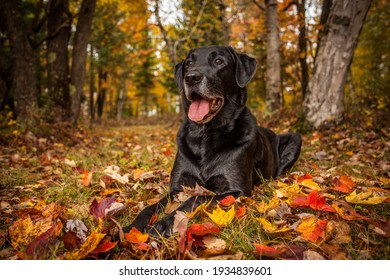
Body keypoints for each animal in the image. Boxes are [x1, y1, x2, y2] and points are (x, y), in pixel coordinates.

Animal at [123, 47, 300, 237]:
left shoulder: (238, 190)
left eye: (218, 62)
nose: (191, 77)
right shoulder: (177, 187)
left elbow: (197, 197)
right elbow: (151, 206)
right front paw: (132, 227)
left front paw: (164, 223)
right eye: (189, 63)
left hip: (295, 138)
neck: (205, 134)